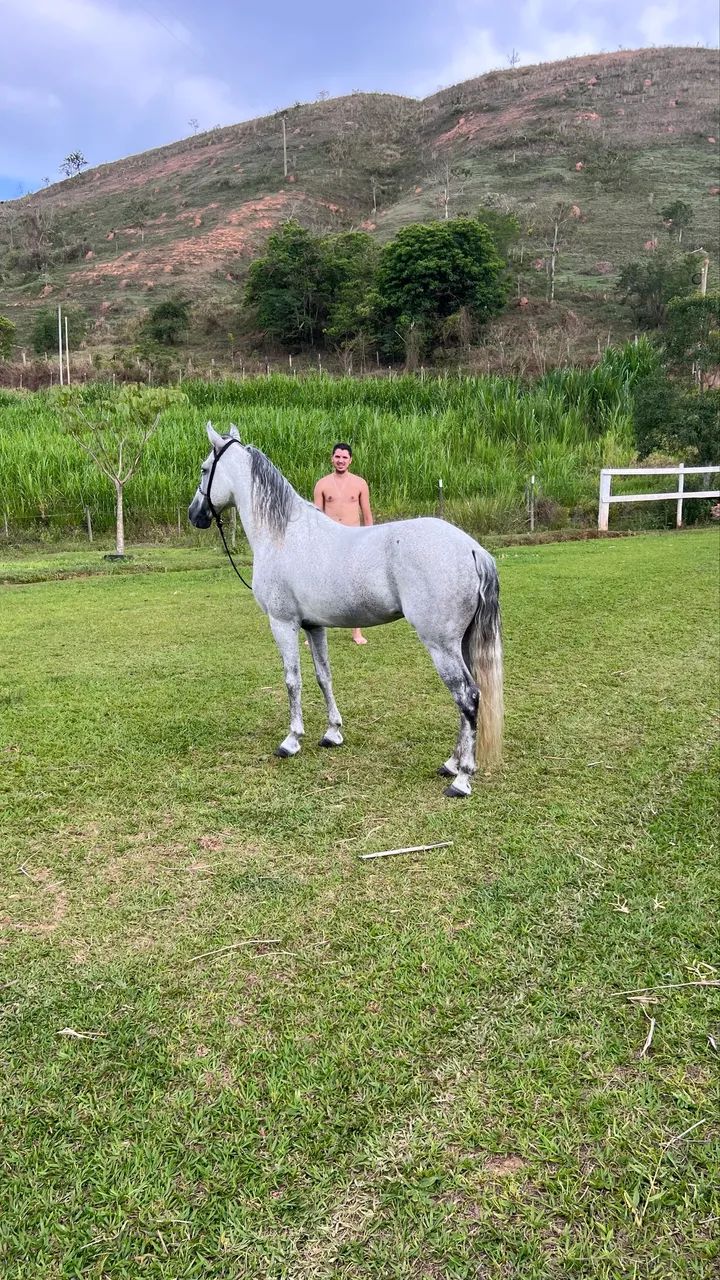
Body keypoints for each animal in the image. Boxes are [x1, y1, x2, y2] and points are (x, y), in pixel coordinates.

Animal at [188, 423, 503, 798]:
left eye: (205, 468)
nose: (194, 515)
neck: (283, 535)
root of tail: (471, 548)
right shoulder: (314, 626)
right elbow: (324, 676)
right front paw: (332, 733)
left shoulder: (282, 624)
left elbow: (292, 680)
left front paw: (291, 740)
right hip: (461, 643)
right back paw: (451, 764)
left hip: (441, 645)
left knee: (467, 697)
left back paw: (462, 779)